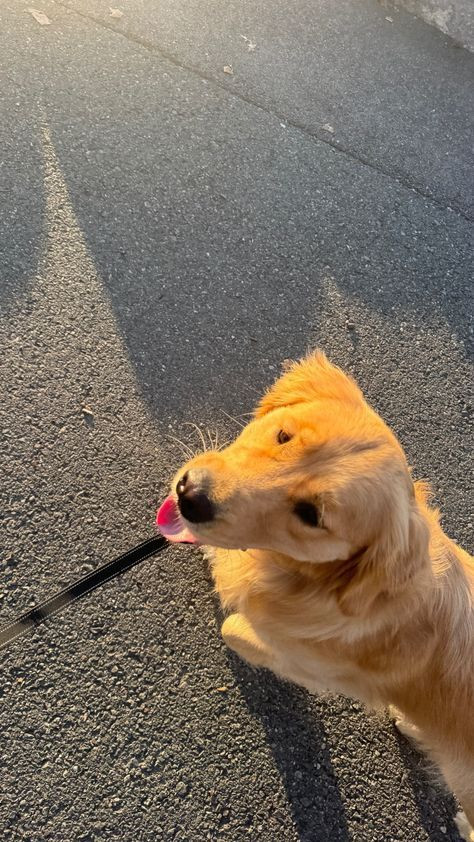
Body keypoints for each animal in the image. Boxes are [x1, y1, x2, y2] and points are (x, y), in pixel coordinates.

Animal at [157, 352, 474, 839]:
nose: (191, 495)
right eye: (283, 435)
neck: (316, 581)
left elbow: (235, 627)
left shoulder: (311, 664)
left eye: (311, 515)